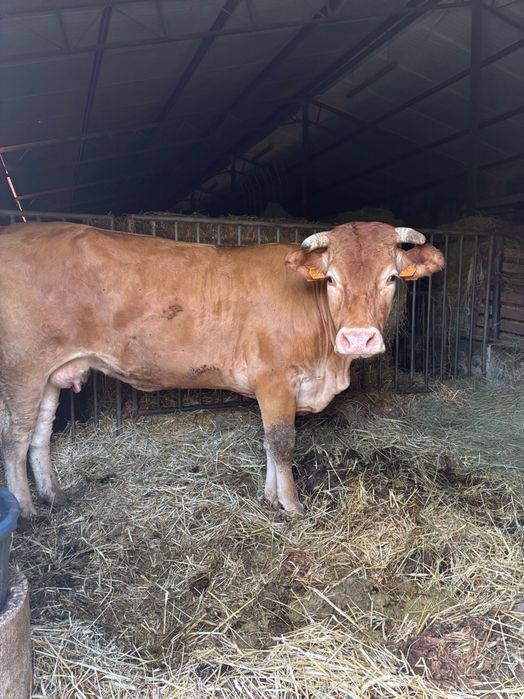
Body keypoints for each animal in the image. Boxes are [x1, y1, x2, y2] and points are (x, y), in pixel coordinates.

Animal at [0, 221, 444, 518]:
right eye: (331, 278)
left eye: (391, 277)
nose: (358, 339)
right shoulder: (275, 381)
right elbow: (282, 442)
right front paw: (292, 506)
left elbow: (267, 442)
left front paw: (270, 498)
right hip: (22, 369)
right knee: (15, 439)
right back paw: (27, 512)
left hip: (51, 373)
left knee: (40, 433)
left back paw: (54, 496)